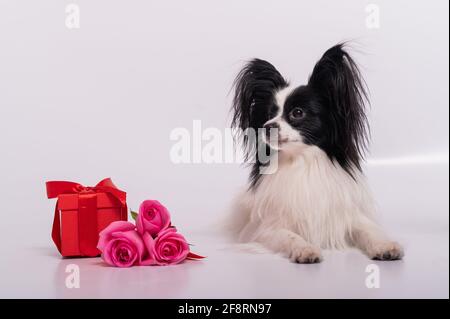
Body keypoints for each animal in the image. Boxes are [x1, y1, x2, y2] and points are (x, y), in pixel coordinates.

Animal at [229, 43, 404, 264]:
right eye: (269, 114)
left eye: (297, 112)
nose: (267, 127)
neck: (303, 162)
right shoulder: (267, 229)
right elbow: (289, 236)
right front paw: (305, 249)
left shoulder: (346, 218)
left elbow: (369, 230)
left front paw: (385, 245)